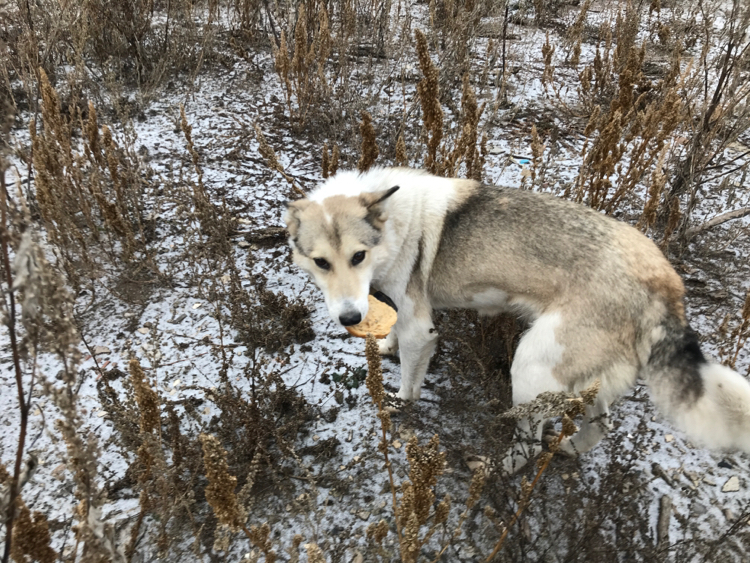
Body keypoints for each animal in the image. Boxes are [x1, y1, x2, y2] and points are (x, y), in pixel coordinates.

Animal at [284, 166, 750, 472]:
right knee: (600, 426)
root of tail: (663, 279)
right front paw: (383, 345)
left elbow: (408, 384)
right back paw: (569, 450)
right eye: (321, 263)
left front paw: (399, 403)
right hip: (581, 378)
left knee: (527, 448)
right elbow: (391, 335)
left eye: (357, 256)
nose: (349, 317)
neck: (391, 222)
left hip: (530, 369)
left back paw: (491, 472)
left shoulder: (421, 329)